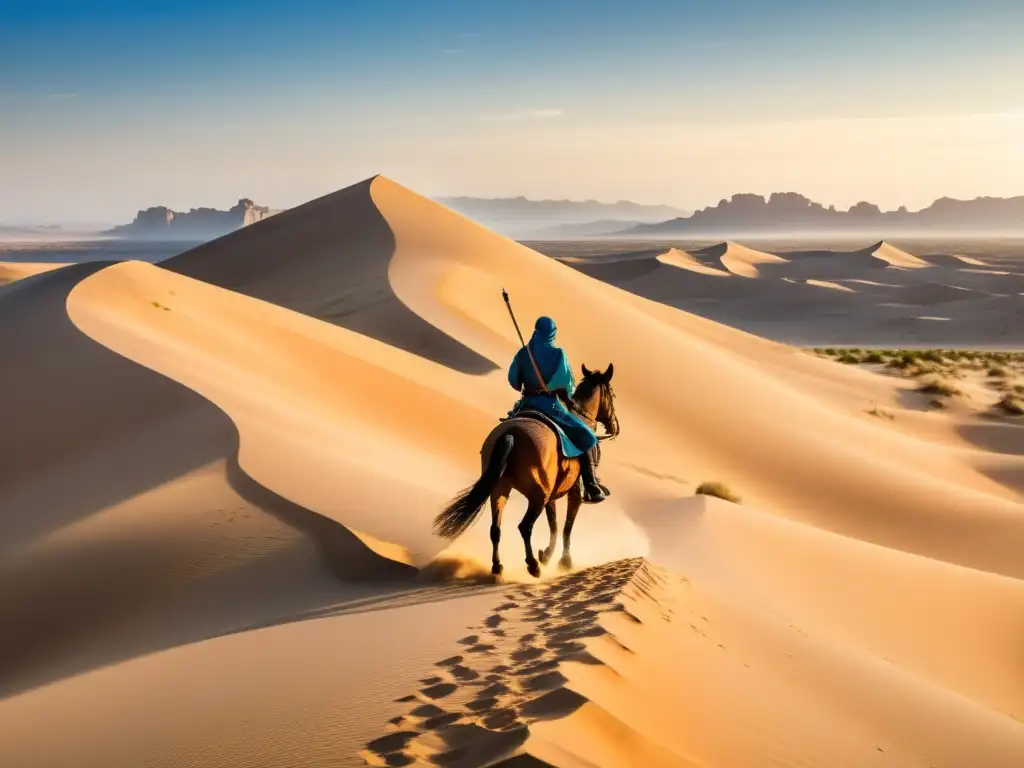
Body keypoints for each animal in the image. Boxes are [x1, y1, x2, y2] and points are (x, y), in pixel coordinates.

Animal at [430, 364, 614, 577]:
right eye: (612, 393)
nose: (614, 427)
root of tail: (512, 434)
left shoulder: (552, 493)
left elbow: (553, 523)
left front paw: (547, 555)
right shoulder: (573, 490)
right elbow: (567, 525)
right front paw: (563, 561)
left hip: (500, 489)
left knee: (495, 528)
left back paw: (497, 566)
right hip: (538, 495)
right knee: (525, 526)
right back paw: (532, 565)